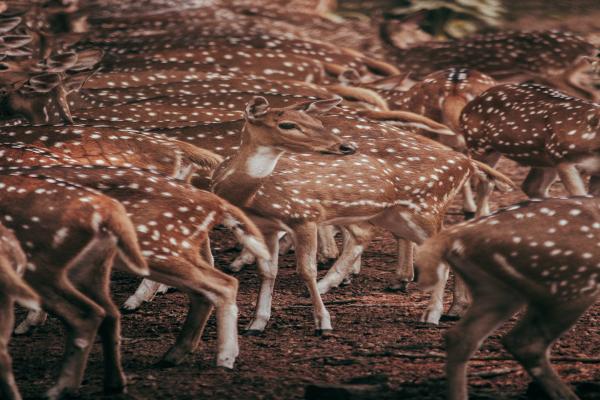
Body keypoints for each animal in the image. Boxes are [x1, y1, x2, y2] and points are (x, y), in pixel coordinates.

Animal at [0, 173, 149, 398]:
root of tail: (110, 214)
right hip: (91, 271)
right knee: (110, 313)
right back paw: (114, 383)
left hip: (40, 270)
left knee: (86, 315)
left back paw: (59, 389)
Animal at [11, 165, 270, 368]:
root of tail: (215, 202)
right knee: (207, 286)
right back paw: (173, 354)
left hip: (153, 245)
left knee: (224, 283)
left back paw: (225, 358)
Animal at [462, 82, 600, 217]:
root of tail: (464, 111)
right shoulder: (562, 157)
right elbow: (580, 196)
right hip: (479, 145)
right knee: (485, 183)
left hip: (541, 159)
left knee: (530, 186)